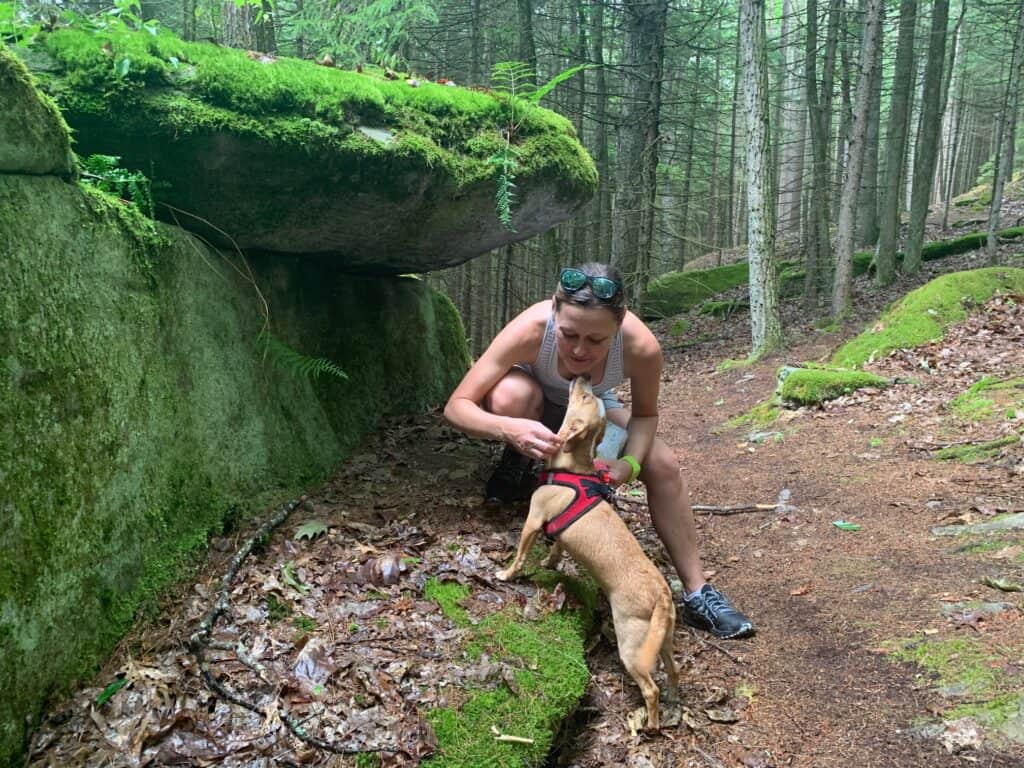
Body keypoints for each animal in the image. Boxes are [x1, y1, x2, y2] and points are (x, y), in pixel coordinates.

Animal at [497, 376, 679, 729]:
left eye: (583, 398)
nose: (585, 378)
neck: (573, 468)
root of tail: (661, 593)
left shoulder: (533, 520)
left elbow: (521, 555)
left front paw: (507, 573)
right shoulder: (558, 532)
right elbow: (557, 548)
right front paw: (550, 562)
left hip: (632, 644)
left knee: (651, 688)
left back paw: (651, 724)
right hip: (662, 640)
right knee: (674, 672)